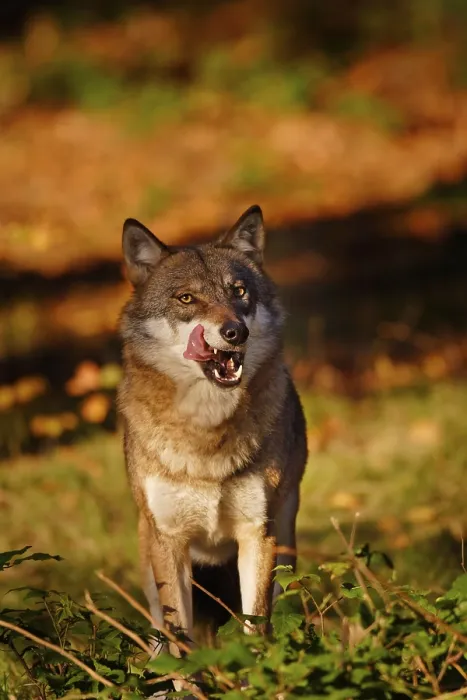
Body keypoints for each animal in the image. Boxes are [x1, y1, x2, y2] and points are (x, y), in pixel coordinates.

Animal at [118, 205, 307, 650]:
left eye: (238, 291)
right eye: (187, 298)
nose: (236, 332)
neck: (207, 435)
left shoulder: (258, 534)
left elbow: (256, 629)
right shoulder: (169, 541)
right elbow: (180, 644)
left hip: (286, 542)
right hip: (148, 555)